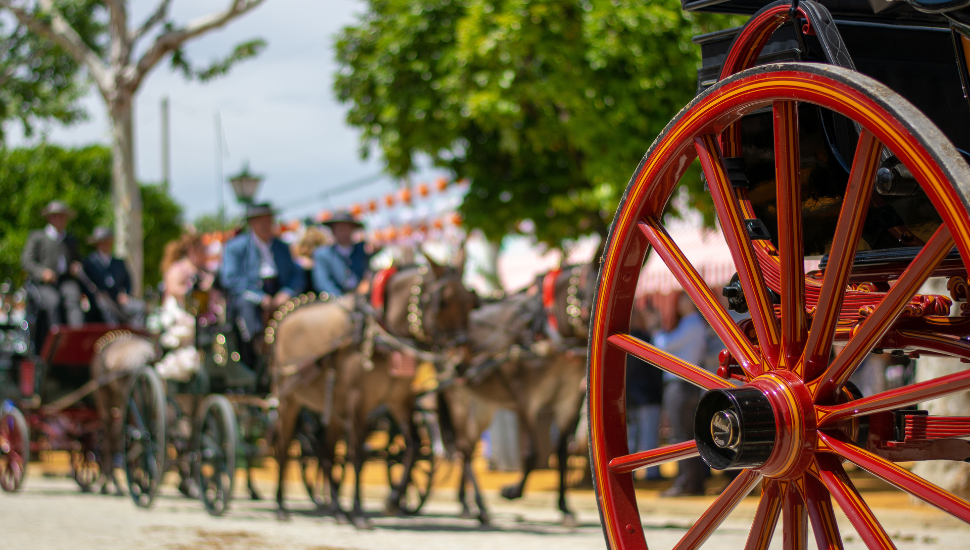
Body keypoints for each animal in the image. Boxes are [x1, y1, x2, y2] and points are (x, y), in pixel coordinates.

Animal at [270, 254, 474, 532]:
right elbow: (357, 455)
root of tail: (285, 318)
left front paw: (393, 500)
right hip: (288, 400)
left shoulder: (400, 401)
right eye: (442, 301)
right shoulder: (358, 401)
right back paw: (281, 507)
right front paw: (358, 512)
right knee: (283, 447)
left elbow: (413, 446)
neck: (383, 334)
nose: (462, 360)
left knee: (326, 452)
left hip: (334, 407)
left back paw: (337, 511)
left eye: (469, 301)